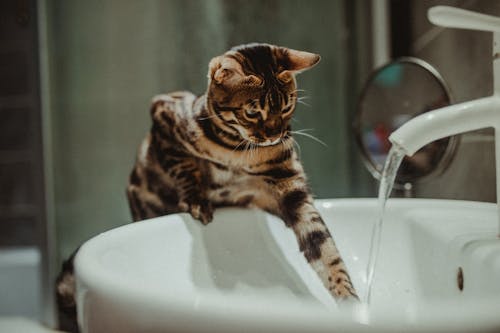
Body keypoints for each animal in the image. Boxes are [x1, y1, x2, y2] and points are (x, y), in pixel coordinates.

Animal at [127, 42, 358, 300]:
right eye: (252, 113)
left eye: (287, 107)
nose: (275, 136)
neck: (239, 152)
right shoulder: (163, 116)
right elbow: (184, 167)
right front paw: (197, 200)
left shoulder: (291, 188)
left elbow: (324, 248)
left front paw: (350, 299)